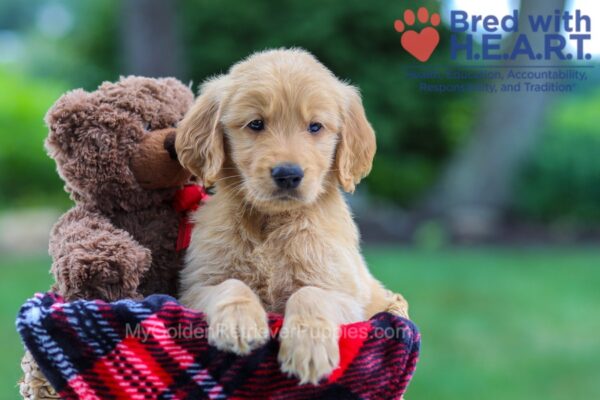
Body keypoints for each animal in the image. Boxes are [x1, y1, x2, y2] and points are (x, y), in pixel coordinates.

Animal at [173, 48, 408, 382]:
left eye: (315, 126)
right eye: (256, 124)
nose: (288, 174)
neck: (273, 222)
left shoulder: (350, 297)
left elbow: (310, 293)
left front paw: (308, 349)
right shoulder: (193, 287)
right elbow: (230, 285)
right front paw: (239, 322)